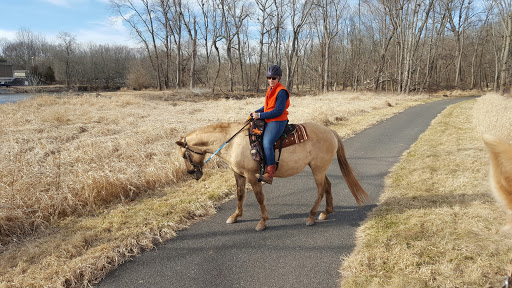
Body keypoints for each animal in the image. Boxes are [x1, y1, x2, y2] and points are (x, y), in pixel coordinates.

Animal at [176, 120, 368, 231]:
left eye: (185, 155)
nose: (192, 173)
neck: (232, 142)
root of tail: (330, 132)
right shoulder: (238, 174)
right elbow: (240, 195)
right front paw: (235, 216)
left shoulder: (251, 175)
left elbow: (259, 197)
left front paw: (262, 221)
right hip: (318, 169)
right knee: (327, 185)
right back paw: (326, 212)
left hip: (318, 169)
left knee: (321, 189)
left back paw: (311, 216)